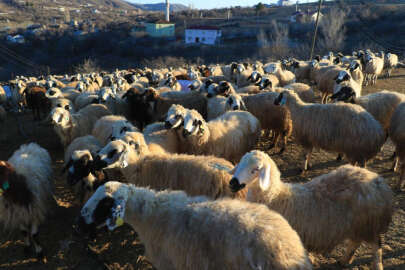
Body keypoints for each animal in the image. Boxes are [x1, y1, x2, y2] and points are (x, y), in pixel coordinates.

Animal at [230, 151, 392, 270]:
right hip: (358, 223)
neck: (276, 197)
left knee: (376, 246)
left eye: (256, 169)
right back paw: (344, 260)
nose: (232, 183)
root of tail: (378, 180)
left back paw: (377, 266)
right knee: (356, 241)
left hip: (371, 223)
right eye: (240, 163)